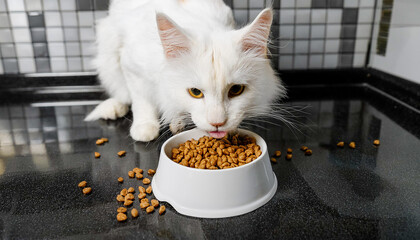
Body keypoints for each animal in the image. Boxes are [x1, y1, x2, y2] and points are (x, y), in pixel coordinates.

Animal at [85, 0, 286, 142]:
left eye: (236, 90)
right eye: (195, 92)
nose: (217, 123)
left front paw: (177, 120)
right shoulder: (131, 66)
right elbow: (143, 101)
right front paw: (145, 128)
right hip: (108, 54)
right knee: (123, 94)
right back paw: (116, 108)